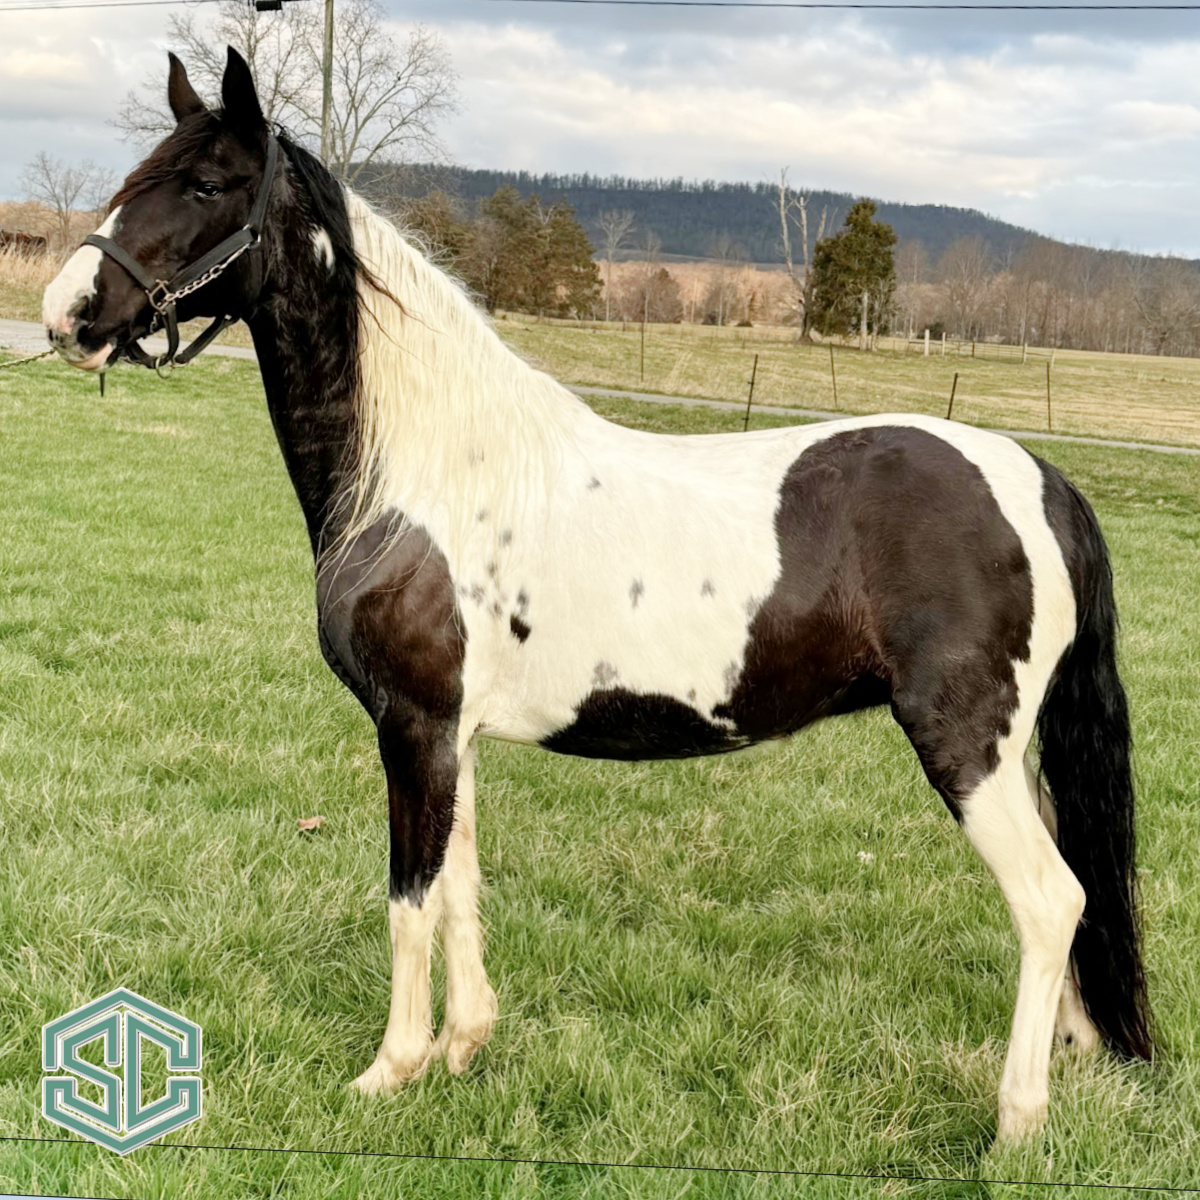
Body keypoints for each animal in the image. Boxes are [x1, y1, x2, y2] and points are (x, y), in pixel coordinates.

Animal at [44, 49, 1152, 1142]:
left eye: (204, 183)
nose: (65, 315)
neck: (425, 471)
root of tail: (1038, 479)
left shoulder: (411, 726)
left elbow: (409, 897)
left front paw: (388, 1072)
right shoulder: (452, 734)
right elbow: (460, 883)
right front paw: (462, 1049)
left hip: (968, 749)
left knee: (1050, 900)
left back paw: (1015, 1123)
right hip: (1011, 757)